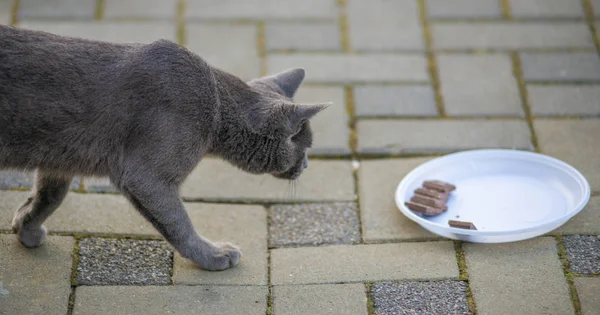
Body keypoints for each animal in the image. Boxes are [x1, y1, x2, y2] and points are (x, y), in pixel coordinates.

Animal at [0, 24, 328, 272]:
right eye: (304, 146)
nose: (308, 165)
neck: (217, 110)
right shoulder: (145, 177)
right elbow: (178, 221)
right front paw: (213, 255)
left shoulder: (60, 156)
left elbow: (49, 196)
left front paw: (26, 227)